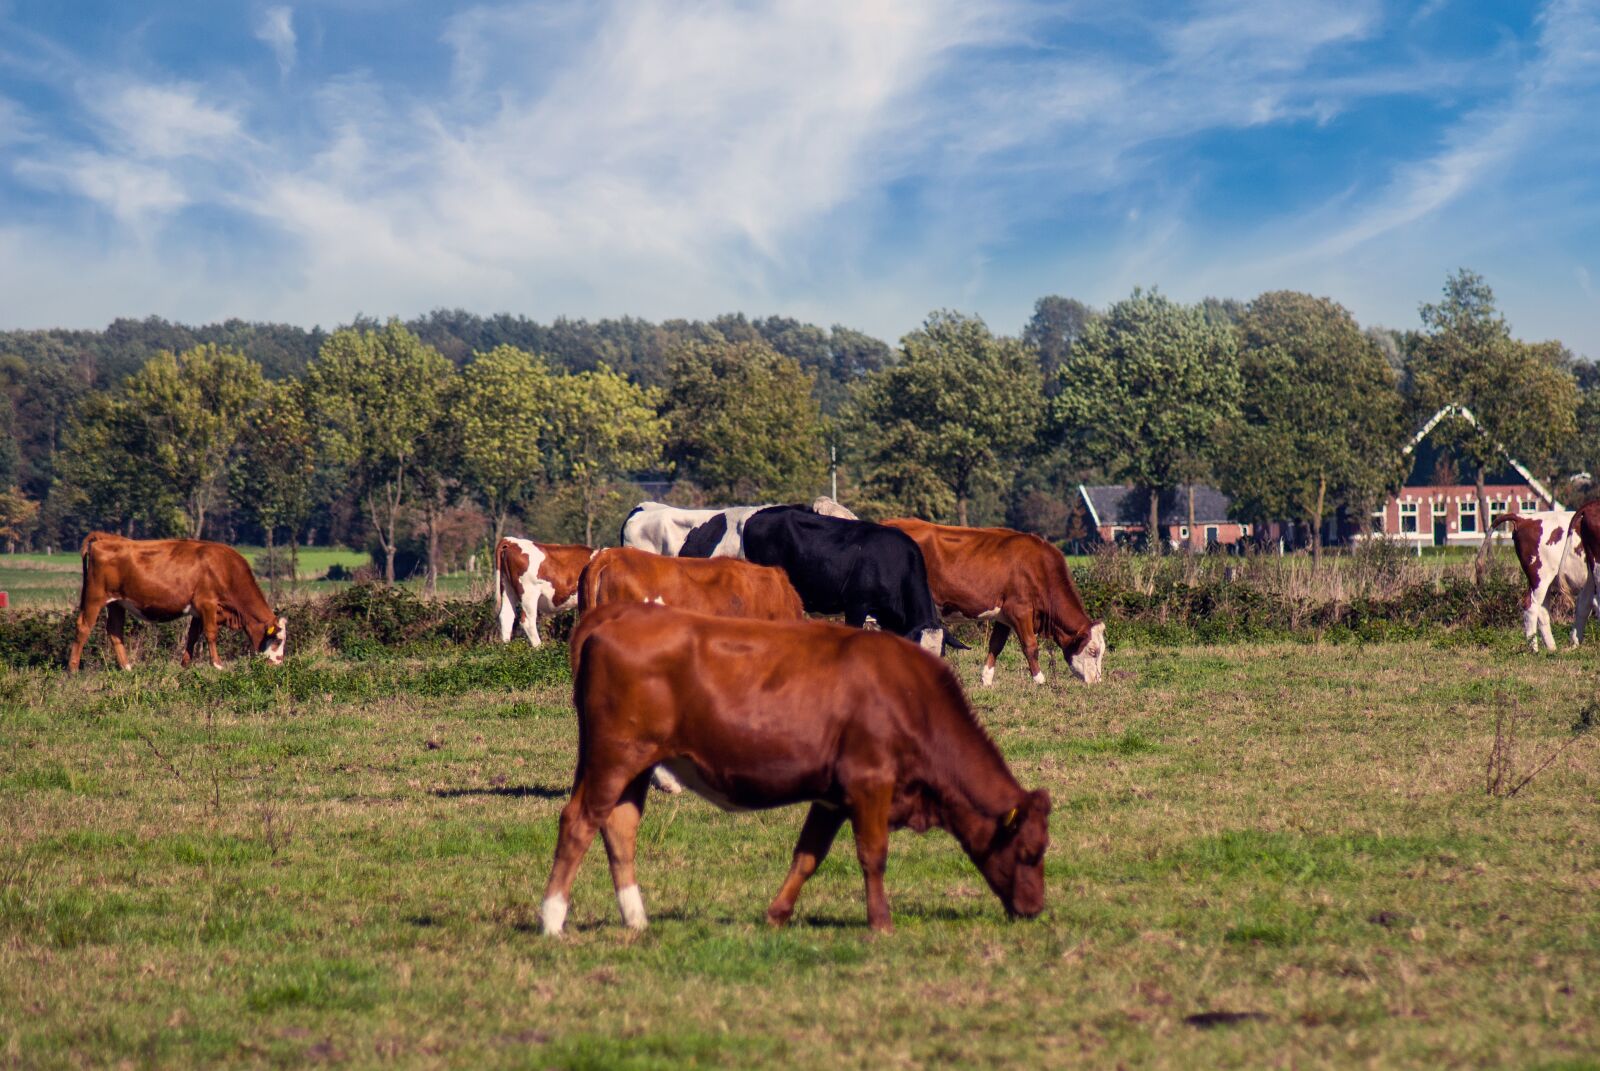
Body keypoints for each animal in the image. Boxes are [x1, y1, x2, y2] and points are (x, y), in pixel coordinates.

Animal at [67, 533, 287, 673]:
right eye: (277, 640)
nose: (277, 665)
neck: (225, 569)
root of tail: (105, 538)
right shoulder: (207, 603)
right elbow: (211, 633)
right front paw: (217, 664)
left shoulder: (199, 611)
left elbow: (193, 636)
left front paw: (185, 664)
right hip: (95, 596)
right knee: (83, 627)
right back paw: (73, 669)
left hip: (117, 602)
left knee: (114, 630)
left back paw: (127, 667)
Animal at [539, 602, 1051, 935]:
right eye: (1031, 851)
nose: (1035, 909)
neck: (910, 697)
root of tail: (619, 614)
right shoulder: (871, 783)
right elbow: (873, 854)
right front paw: (881, 923)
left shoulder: (832, 796)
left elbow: (808, 855)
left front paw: (777, 914)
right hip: (614, 755)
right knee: (579, 821)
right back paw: (552, 919)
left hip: (634, 766)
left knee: (619, 826)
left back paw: (637, 919)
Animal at [884, 518, 1107, 686]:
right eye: (1093, 651)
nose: (1097, 680)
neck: (1040, 569)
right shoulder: (1020, 610)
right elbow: (1030, 645)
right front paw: (1039, 680)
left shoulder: (1004, 615)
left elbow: (996, 645)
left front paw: (987, 679)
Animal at [1490, 511, 1597, 651]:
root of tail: (1524, 518)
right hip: (1540, 577)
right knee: (1531, 606)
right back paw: (1534, 649)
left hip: (1545, 582)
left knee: (1542, 610)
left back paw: (1551, 648)